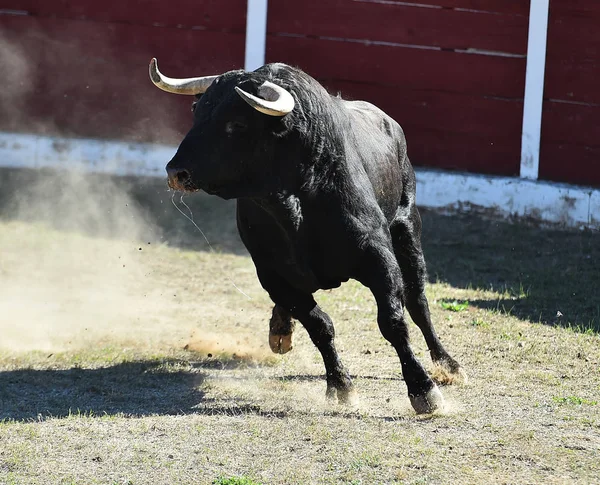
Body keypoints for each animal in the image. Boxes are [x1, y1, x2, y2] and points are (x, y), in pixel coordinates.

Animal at [150, 57, 464, 412]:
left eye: (237, 124)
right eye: (198, 113)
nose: (176, 172)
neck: (295, 199)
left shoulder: (379, 258)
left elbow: (393, 322)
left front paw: (424, 390)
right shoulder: (272, 274)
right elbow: (319, 325)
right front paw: (340, 386)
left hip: (407, 228)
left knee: (417, 300)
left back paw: (448, 364)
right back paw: (280, 331)